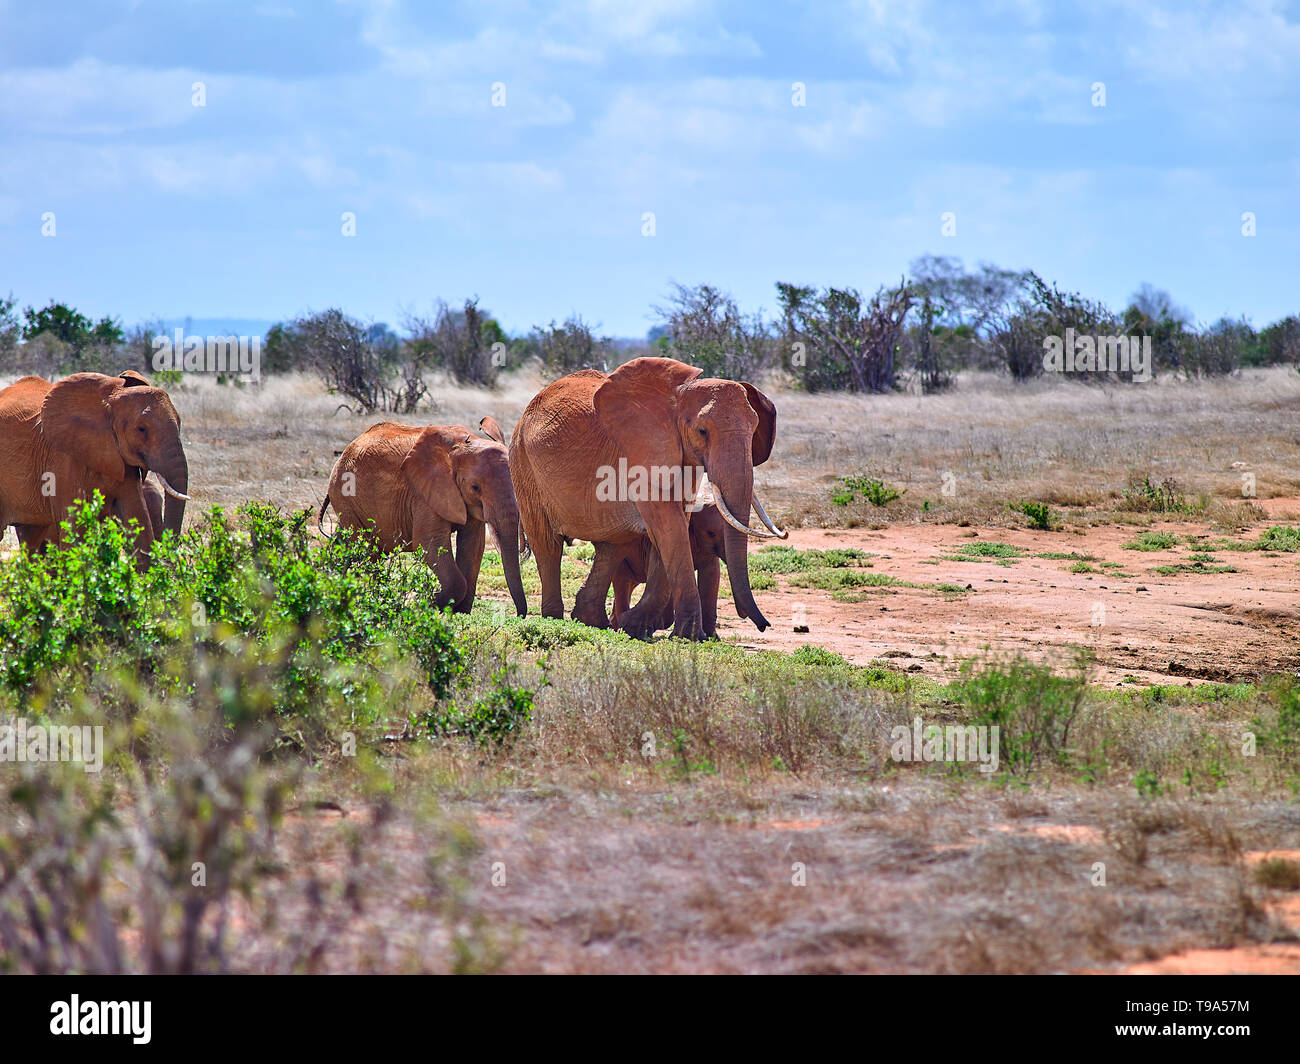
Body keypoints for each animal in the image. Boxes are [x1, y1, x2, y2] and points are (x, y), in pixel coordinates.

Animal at [321, 413, 527, 613]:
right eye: (475, 487)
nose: (520, 615)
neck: (463, 446)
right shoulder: (424, 493)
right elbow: (429, 541)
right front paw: (422, 606)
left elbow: (473, 546)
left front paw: (457, 612)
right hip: (345, 496)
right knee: (355, 543)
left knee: (361, 549)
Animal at [512, 356, 785, 637]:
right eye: (702, 431)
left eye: (754, 430)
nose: (763, 626)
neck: (676, 398)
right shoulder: (640, 453)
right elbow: (668, 526)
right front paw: (685, 637)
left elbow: (673, 526)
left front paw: (636, 627)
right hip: (523, 465)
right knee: (548, 545)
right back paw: (553, 621)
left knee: (610, 546)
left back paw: (592, 622)